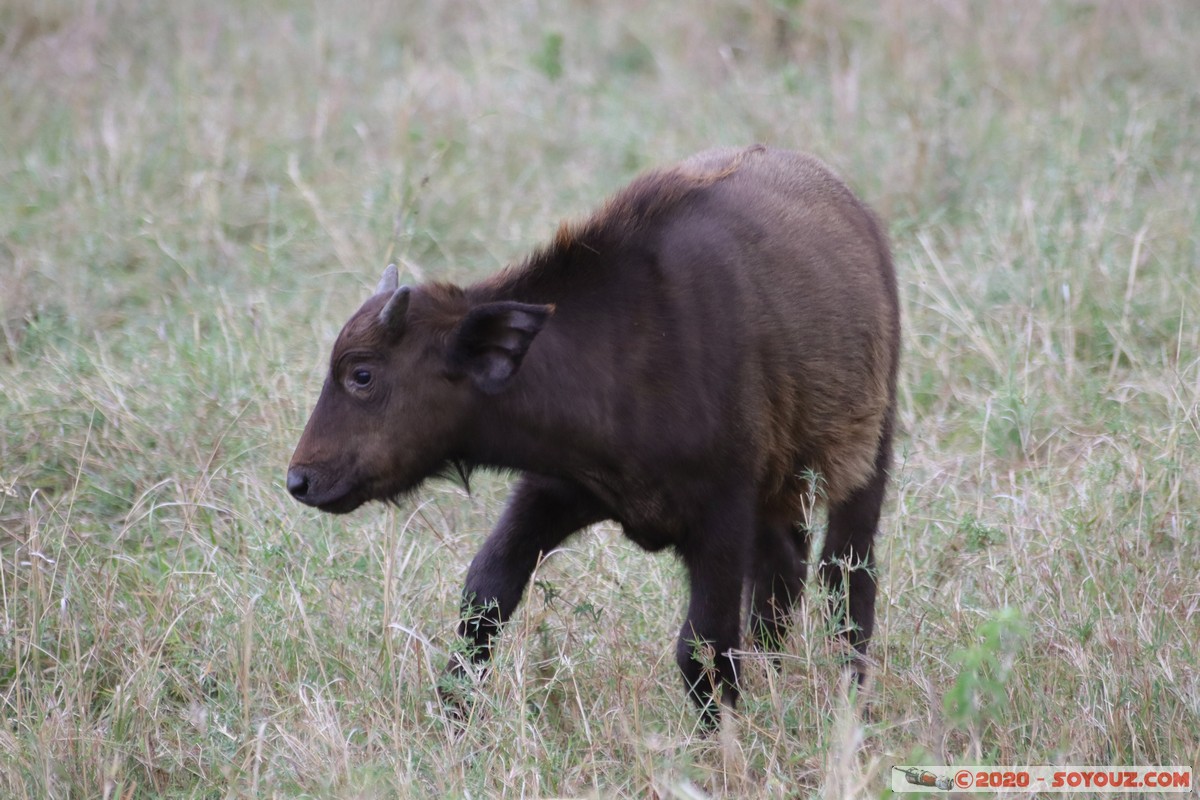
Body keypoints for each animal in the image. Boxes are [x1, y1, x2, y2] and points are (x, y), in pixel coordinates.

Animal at [285, 145, 897, 724]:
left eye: (362, 374)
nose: (300, 480)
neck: (626, 347)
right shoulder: (555, 489)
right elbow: (484, 596)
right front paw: (453, 720)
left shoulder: (722, 518)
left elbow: (703, 647)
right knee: (784, 575)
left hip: (865, 463)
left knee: (847, 577)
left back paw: (850, 696)